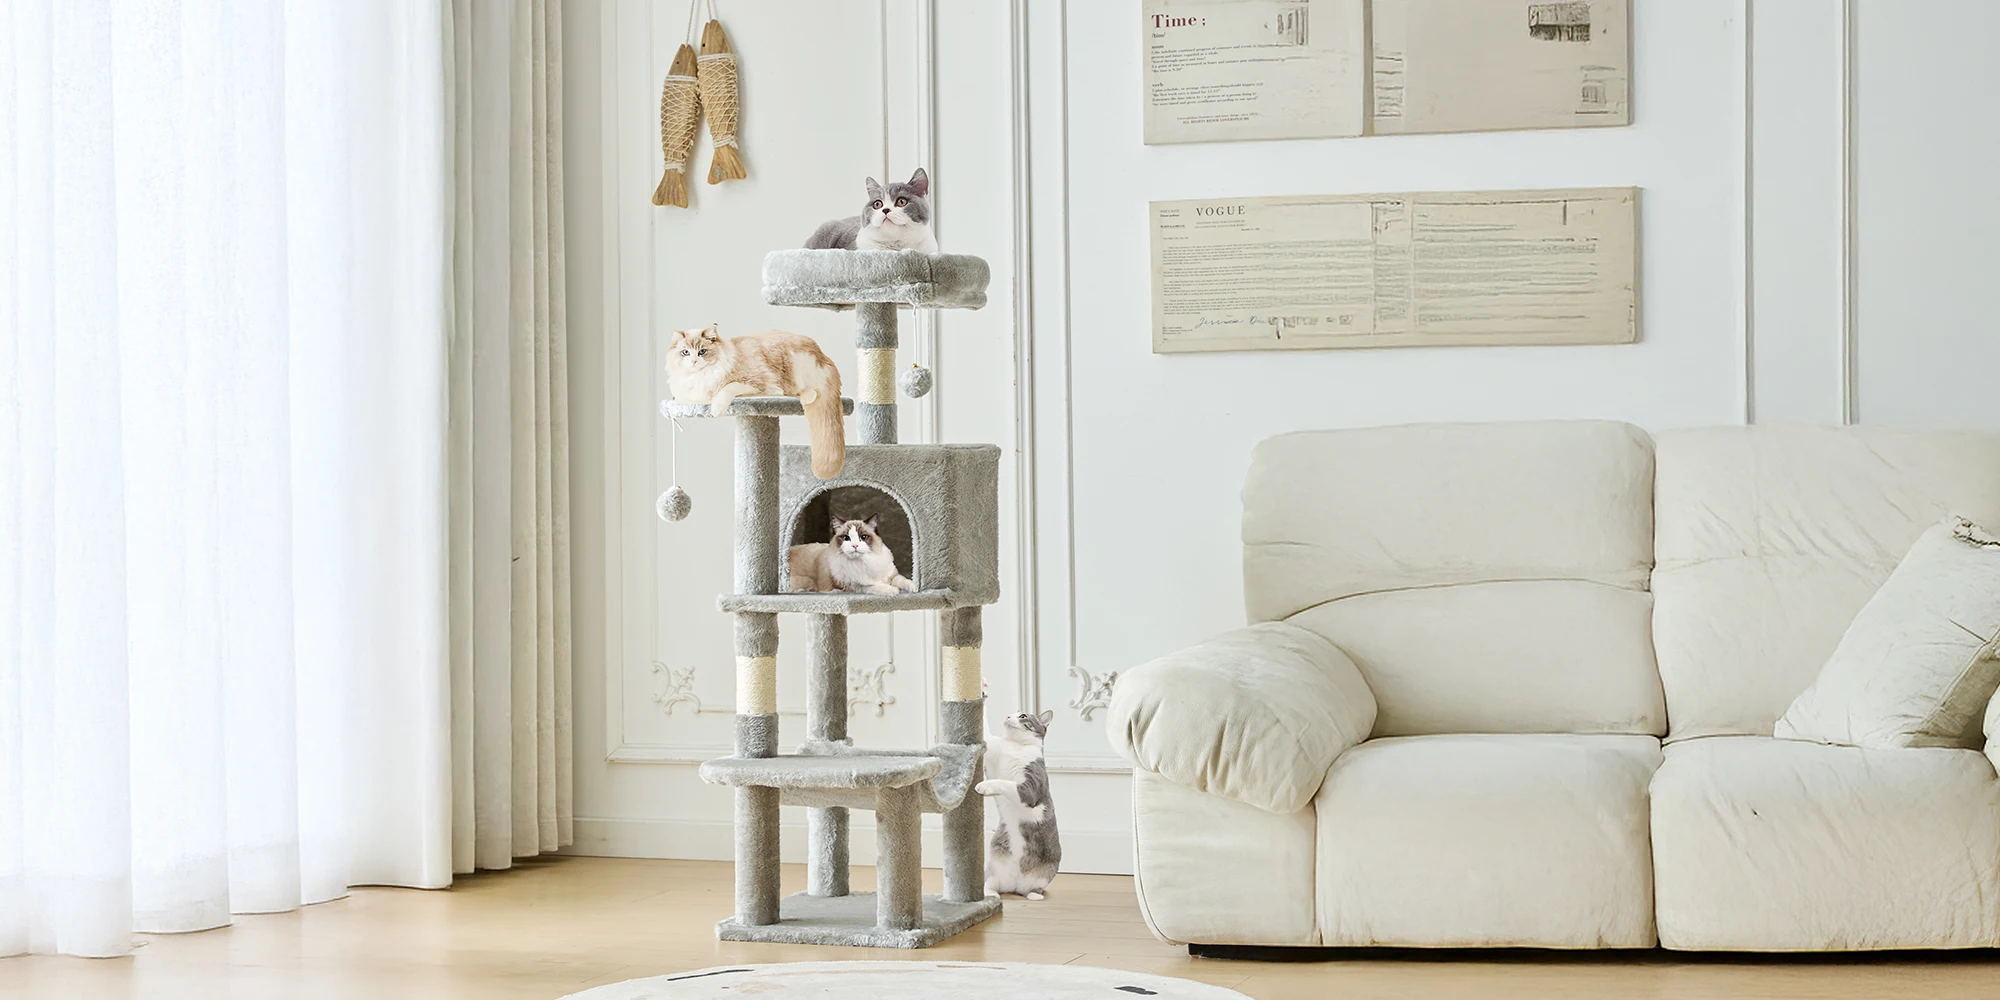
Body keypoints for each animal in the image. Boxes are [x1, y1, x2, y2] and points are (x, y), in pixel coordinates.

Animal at [665, 325, 845, 479]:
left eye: (702, 351)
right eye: (685, 352)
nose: (694, 361)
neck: (701, 376)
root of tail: (825, 358)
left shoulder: (754, 382)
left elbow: (726, 389)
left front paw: (716, 410)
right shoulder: (686, 396)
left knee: (806, 392)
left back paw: (804, 396)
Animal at [786, 514, 917, 596]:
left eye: (863, 537)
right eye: (846, 538)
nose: (855, 546)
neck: (864, 563)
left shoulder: (891, 574)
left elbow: (903, 580)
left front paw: (914, 588)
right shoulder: (854, 585)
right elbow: (874, 586)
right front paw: (893, 591)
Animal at [977, 709, 1060, 900]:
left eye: (1022, 716)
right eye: (1012, 712)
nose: (1008, 716)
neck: (1015, 747)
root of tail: (1015, 883)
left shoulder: (1030, 788)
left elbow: (1004, 782)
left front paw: (985, 785)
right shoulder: (993, 755)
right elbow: (985, 731)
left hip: (1046, 871)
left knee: (1033, 888)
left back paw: (1034, 895)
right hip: (994, 864)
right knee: (991, 883)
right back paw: (991, 895)